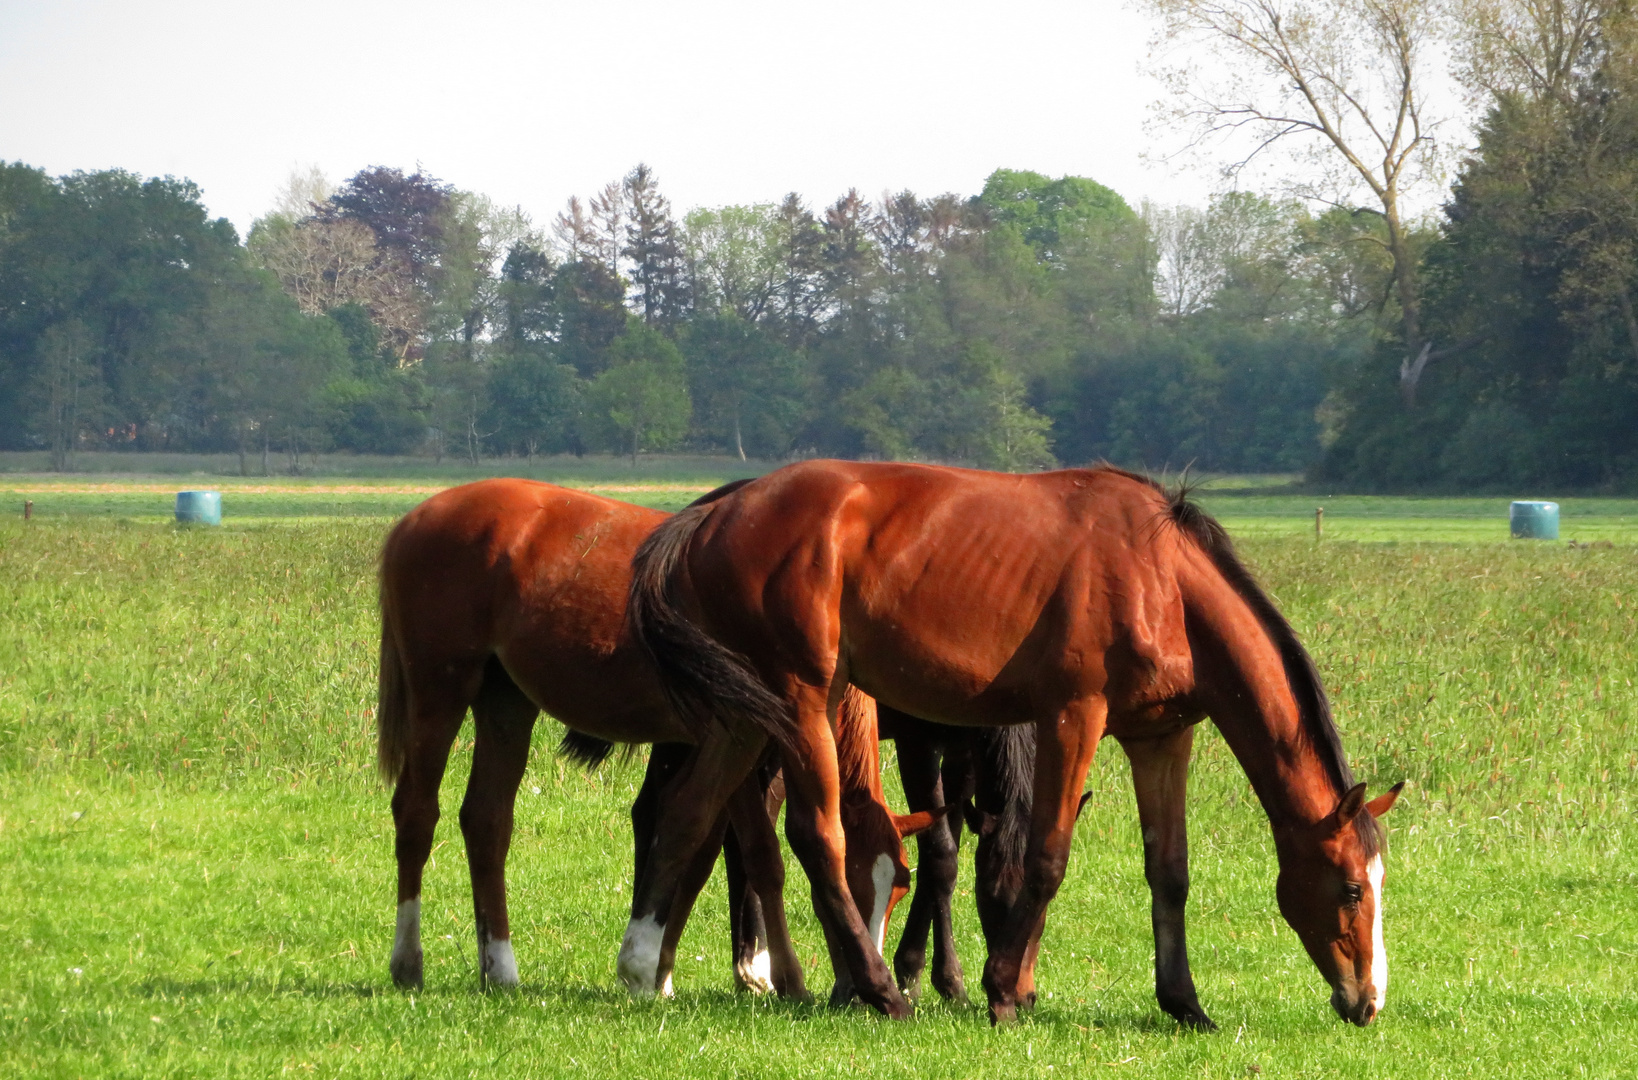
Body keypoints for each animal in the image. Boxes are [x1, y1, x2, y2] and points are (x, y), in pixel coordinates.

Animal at [373, 478, 936, 1002]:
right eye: (858, 880)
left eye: (900, 887)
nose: (860, 978)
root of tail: (413, 519)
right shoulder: (738, 745)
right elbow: (755, 855)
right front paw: (778, 978)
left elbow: (707, 845)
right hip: (439, 690)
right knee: (416, 813)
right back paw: (407, 962)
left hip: (505, 703)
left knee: (487, 820)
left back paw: (501, 969)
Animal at [625, 462, 1408, 1029]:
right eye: (1348, 887)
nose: (1368, 1001)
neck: (1163, 580)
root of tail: (714, 511)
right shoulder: (1072, 718)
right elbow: (1046, 857)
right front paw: (1003, 990)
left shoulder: (1161, 737)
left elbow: (1169, 871)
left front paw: (1184, 1003)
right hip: (802, 702)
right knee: (818, 838)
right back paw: (880, 991)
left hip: (748, 714)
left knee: (688, 814)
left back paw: (641, 968)